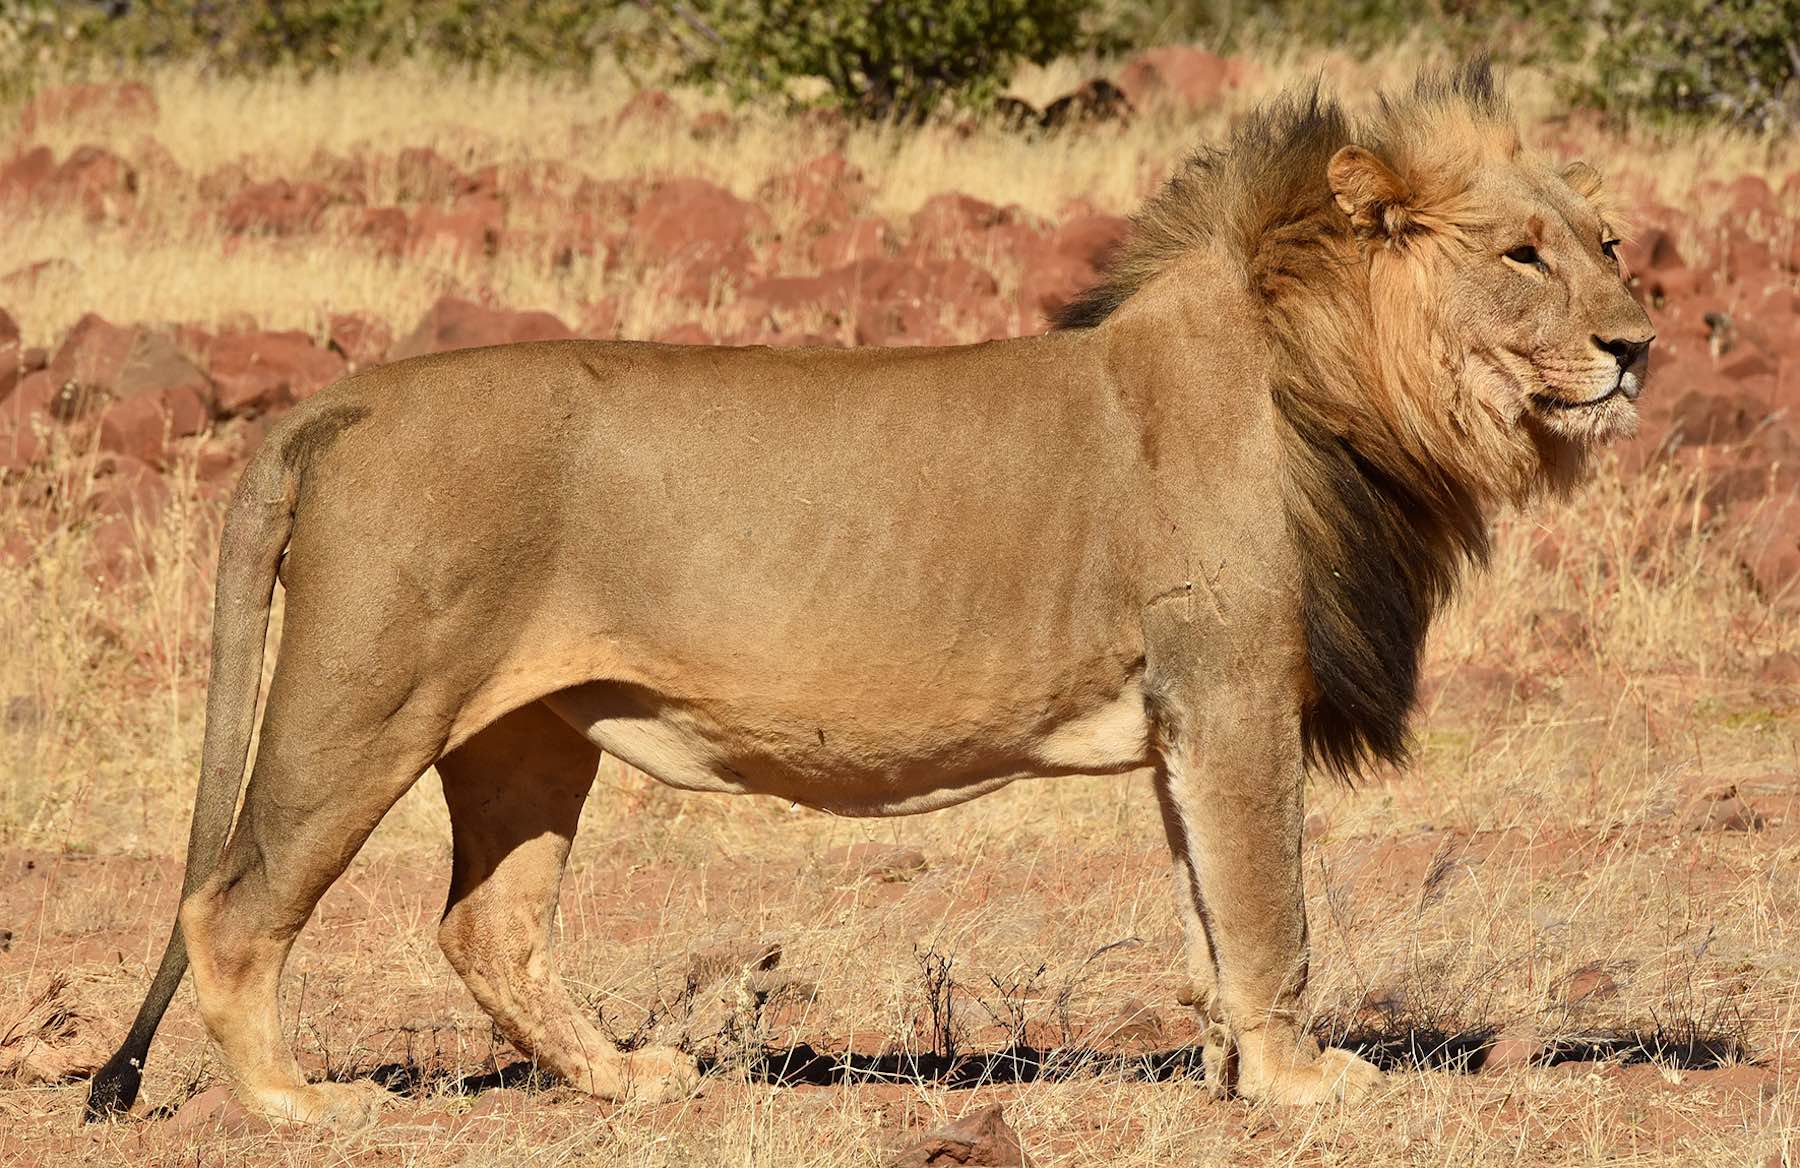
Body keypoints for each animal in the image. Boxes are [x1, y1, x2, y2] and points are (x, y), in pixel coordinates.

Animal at [91, 61, 1648, 1123]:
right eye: (1524, 255)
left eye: (1612, 244)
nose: (1640, 343)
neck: (1334, 383)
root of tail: (338, 399)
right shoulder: (1231, 683)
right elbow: (1273, 901)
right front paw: (1302, 1077)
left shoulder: (1190, 715)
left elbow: (1215, 898)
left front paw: (1224, 1063)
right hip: (367, 699)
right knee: (233, 905)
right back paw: (297, 1103)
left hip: (522, 733)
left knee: (488, 926)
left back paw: (629, 1080)